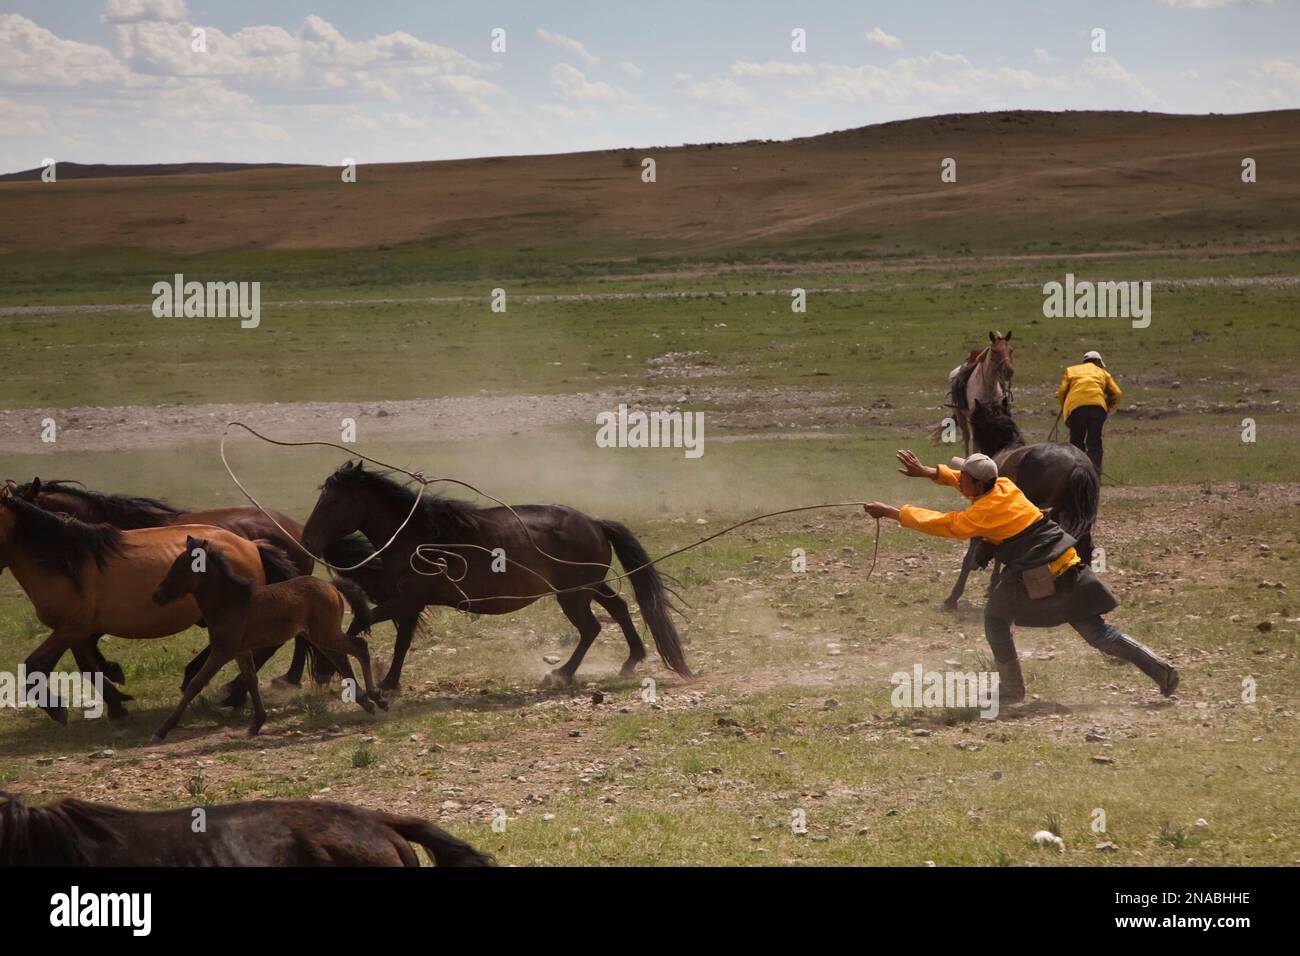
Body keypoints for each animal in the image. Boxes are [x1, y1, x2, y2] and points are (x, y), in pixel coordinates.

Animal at [152, 535, 384, 743]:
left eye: (183, 567)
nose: (157, 596)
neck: (228, 602)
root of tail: (332, 586)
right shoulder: (241, 651)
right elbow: (251, 680)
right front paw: (257, 724)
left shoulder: (222, 651)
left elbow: (195, 683)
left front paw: (162, 730)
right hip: (319, 635)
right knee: (342, 659)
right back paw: (367, 702)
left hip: (325, 633)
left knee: (359, 647)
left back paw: (377, 697)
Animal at [301, 463, 691, 691]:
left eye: (332, 501)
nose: (307, 541)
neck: (417, 535)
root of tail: (595, 523)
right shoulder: (410, 602)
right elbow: (400, 642)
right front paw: (390, 681)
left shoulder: (407, 600)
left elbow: (361, 624)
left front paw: (329, 671)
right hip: (588, 586)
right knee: (619, 607)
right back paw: (631, 661)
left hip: (573, 594)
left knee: (592, 627)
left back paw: (562, 673)